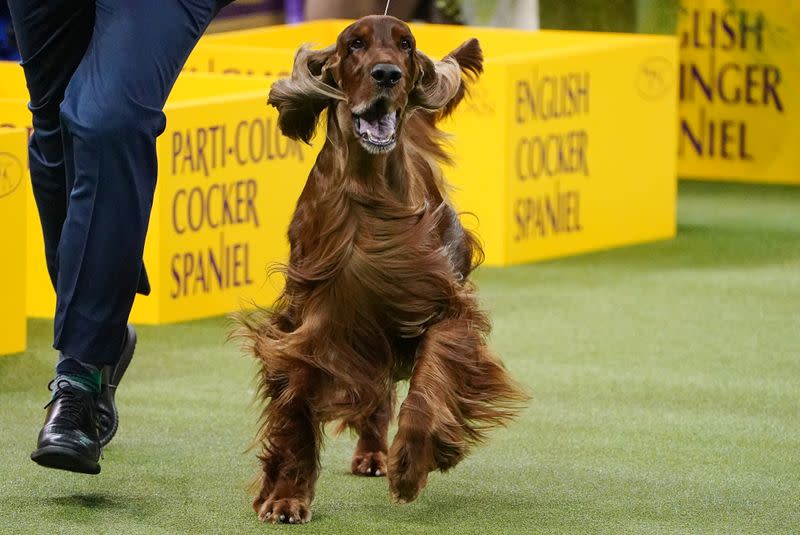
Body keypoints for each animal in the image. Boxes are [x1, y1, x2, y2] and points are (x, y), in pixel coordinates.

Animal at [234, 14, 528, 524]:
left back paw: (382, 454)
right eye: (355, 44)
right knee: (373, 391)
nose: (387, 74)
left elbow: (431, 382)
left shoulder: (440, 305)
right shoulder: (310, 322)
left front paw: (411, 462)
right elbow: (295, 404)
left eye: (406, 44)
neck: (366, 190)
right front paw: (286, 496)